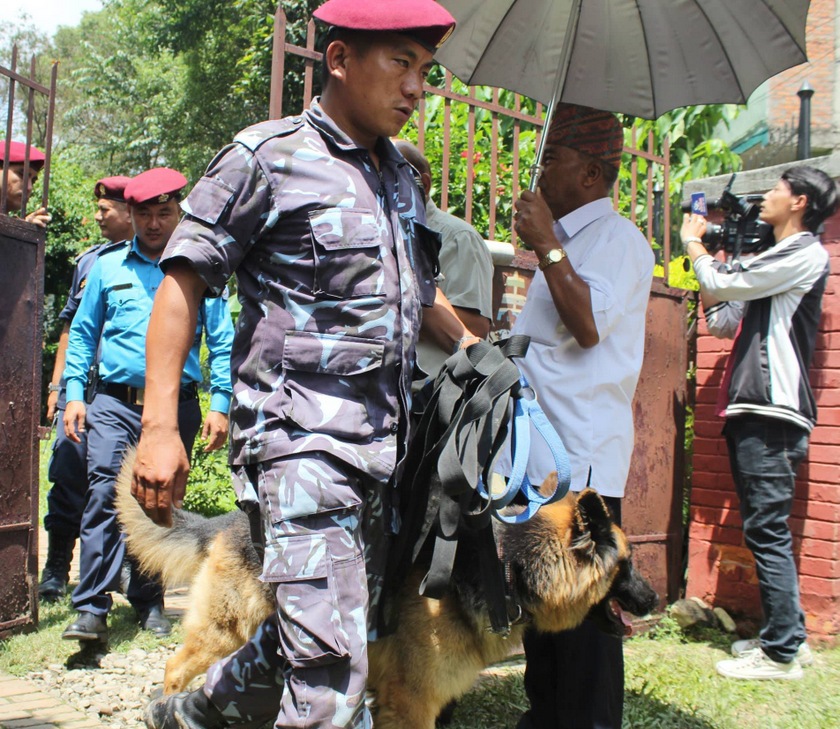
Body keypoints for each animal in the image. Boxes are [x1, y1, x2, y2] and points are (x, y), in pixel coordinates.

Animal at [116, 452, 656, 724]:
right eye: (627, 565)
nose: (653, 598)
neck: (507, 564)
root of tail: (227, 521)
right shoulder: (413, 701)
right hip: (226, 630)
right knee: (177, 669)